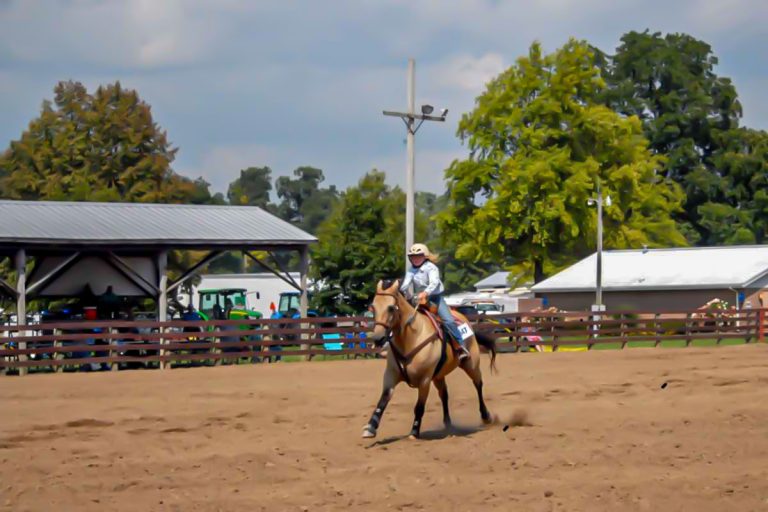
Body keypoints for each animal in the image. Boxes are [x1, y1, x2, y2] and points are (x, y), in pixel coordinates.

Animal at [364, 278, 498, 438]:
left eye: (391, 308)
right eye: (373, 307)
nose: (378, 338)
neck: (411, 338)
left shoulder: (425, 380)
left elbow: (419, 406)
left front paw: (414, 431)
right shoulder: (391, 375)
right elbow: (383, 399)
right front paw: (371, 427)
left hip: (471, 364)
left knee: (478, 384)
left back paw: (486, 416)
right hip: (439, 375)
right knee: (444, 394)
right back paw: (448, 424)